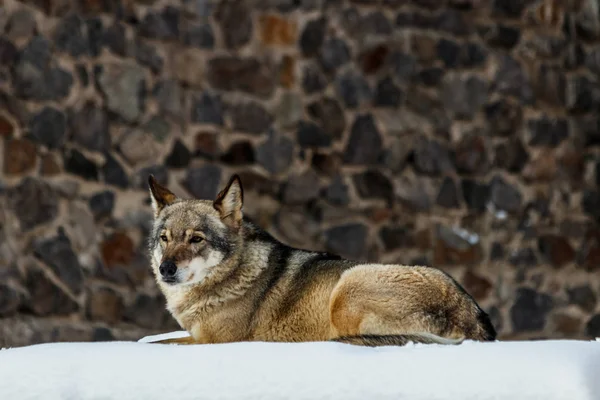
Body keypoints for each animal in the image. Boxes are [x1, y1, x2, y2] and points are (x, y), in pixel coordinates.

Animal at [145, 175, 496, 346]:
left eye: (196, 239)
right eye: (165, 238)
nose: (166, 269)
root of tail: (475, 320)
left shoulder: (215, 340)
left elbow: (160, 343)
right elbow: (155, 337)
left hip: (347, 288)